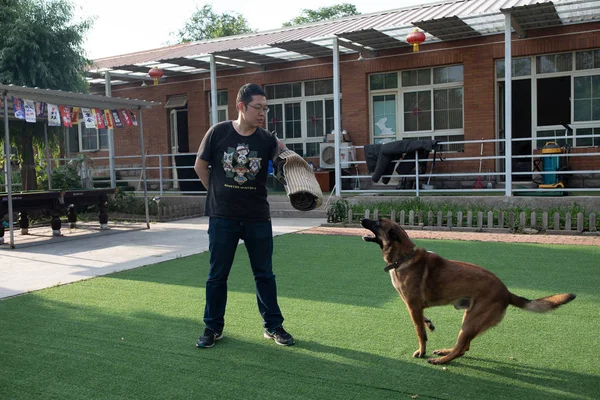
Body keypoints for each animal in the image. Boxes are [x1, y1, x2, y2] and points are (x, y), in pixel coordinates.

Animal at [360, 217, 576, 364]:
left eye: (378, 222)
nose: (362, 218)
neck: (404, 257)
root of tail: (507, 292)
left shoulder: (413, 306)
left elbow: (419, 331)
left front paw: (422, 351)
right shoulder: (416, 308)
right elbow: (423, 322)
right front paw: (429, 324)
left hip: (471, 321)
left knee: (461, 348)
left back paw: (440, 360)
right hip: (469, 319)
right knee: (464, 346)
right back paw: (444, 352)